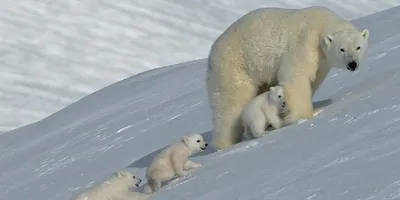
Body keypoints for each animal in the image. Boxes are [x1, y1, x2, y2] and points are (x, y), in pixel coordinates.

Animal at [208, 5, 370, 149]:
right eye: (342, 49)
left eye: (358, 47)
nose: (352, 64)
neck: (321, 23)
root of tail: (211, 53)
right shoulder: (304, 42)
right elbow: (296, 77)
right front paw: (303, 116)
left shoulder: (322, 61)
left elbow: (313, 80)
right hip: (234, 65)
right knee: (231, 103)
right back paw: (225, 143)